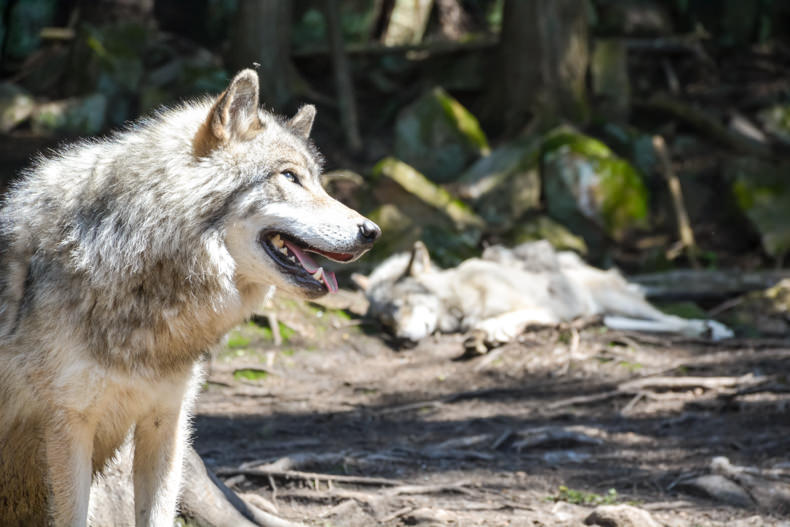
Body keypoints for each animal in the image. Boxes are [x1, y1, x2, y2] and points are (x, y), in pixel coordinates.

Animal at [0, 70, 380, 527]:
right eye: (289, 177)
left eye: (319, 182)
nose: (372, 232)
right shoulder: (70, 425)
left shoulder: (166, 417)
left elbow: (158, 515)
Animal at [358, 240, 732, 350]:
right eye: (385, 323)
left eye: (400, 306)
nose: (401, 339)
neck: (460, 298)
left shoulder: (546, 310)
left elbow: (507, 317)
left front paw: (490, 331)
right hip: (608, 315)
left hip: (620, 301)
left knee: (669, 319)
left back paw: (711, 329)